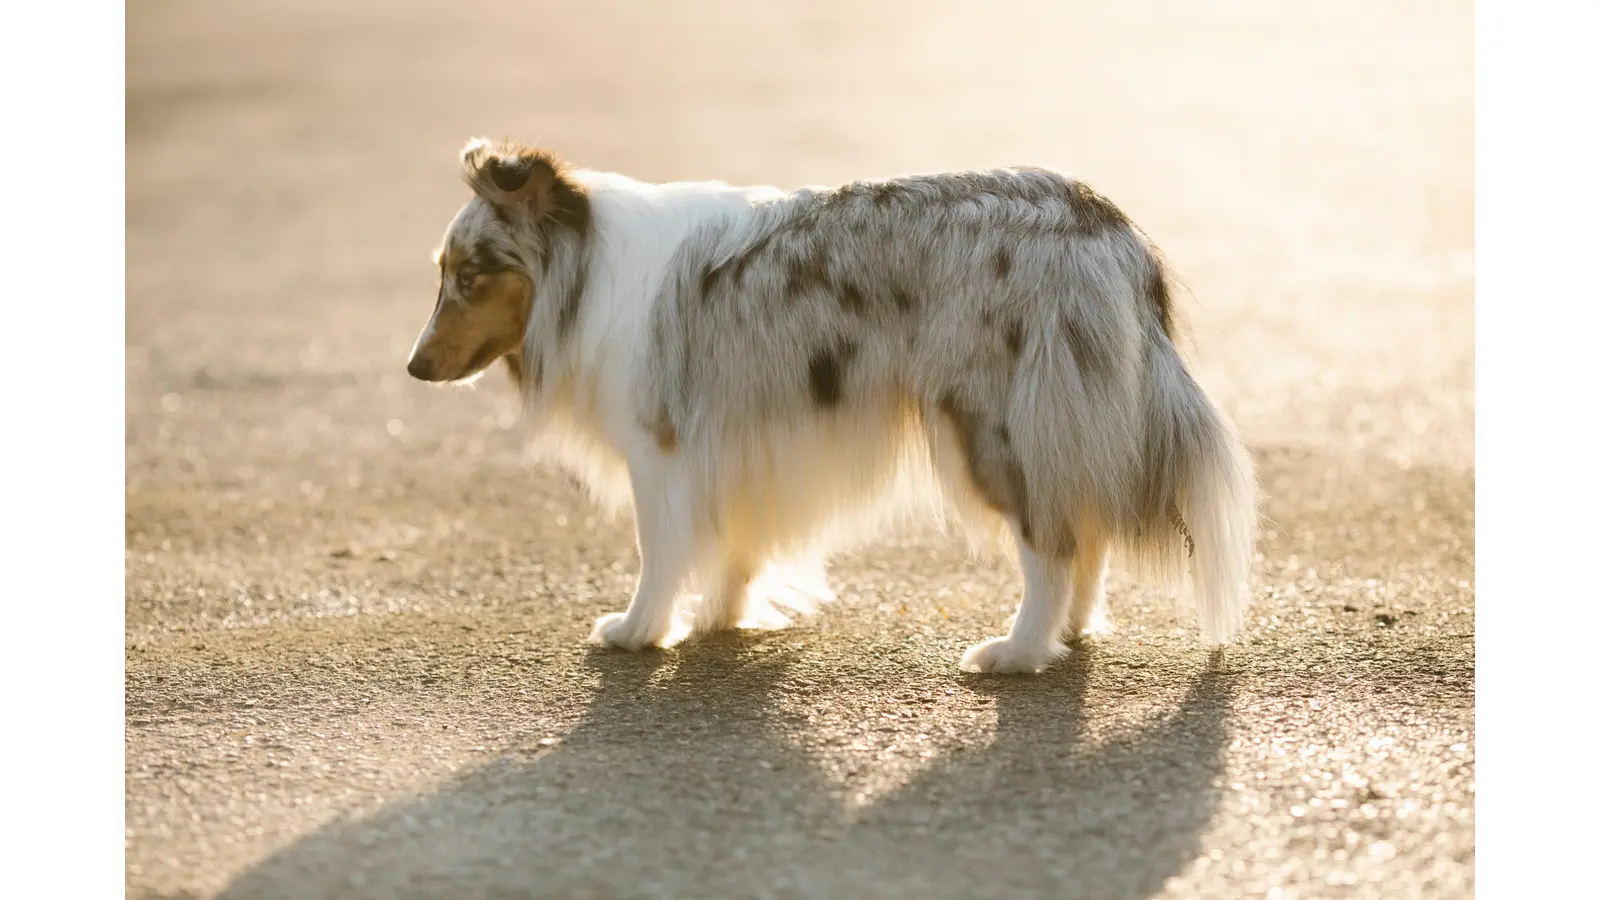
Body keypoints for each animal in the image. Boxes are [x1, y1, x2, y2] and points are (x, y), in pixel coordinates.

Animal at [406, 138, 1254, 672]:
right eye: (441, 273)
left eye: (471, 276)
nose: (413, 367)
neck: (585, 271)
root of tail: (1110, 229)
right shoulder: (738, 443)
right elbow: (736, 544)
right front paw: (722, 615)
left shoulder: (660, 449)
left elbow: (659, 550)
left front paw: (639, 630)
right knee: (1084, 526)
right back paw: (1069, 633)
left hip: (994, 421)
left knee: (1052, 541)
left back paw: (1018, 652)